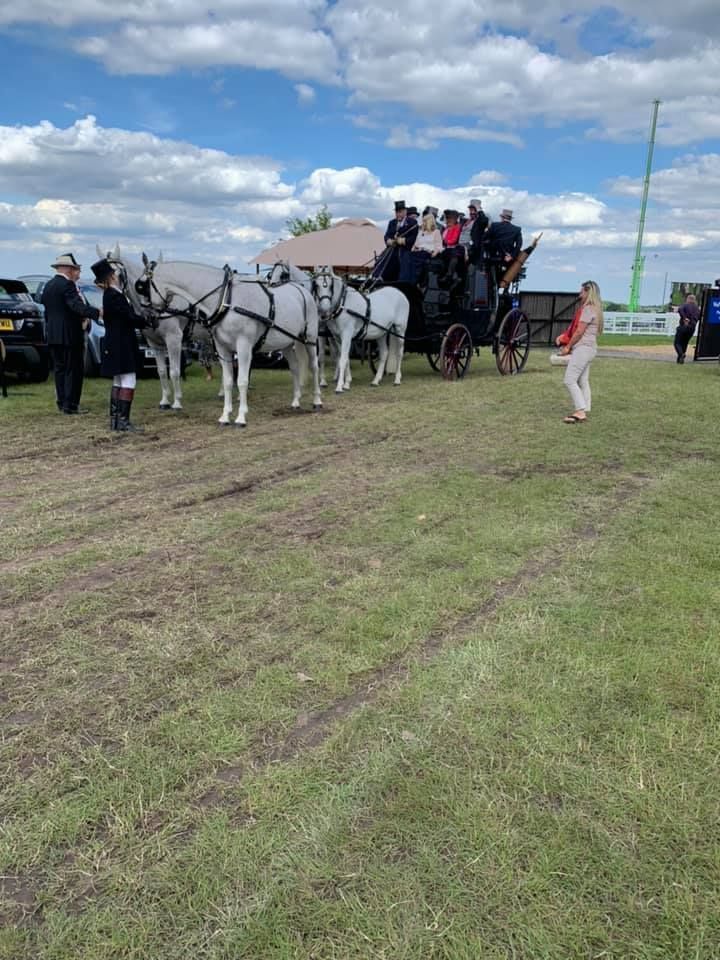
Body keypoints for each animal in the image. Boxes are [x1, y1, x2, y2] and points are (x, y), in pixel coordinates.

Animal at [137, 256, 320, 426]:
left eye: (141, 287)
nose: (148, 320)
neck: (226, 299)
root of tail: (302, 290)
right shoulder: (222, 348)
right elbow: (227, 382)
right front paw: (225, 416)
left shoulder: (244, 346)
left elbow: (242, 381)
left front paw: (240, 417)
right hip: (287, 343)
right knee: (295, 368)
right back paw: (295, 401)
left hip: (310, 339)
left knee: (314, 366)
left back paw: (317, 401)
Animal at [312, 264, 408, 392]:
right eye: (316, 285)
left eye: (330, 285)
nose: (324, 310)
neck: (343, 304)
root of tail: (399, 292)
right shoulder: (338, 337)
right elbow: (345, 358)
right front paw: (347, 383)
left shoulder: (347, 335)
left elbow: (342, 359)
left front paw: (339, 387)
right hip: (382, 332)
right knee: (384, 353)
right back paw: (376, 380)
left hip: (400, 329)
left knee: (399, 352)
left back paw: (397, 379)